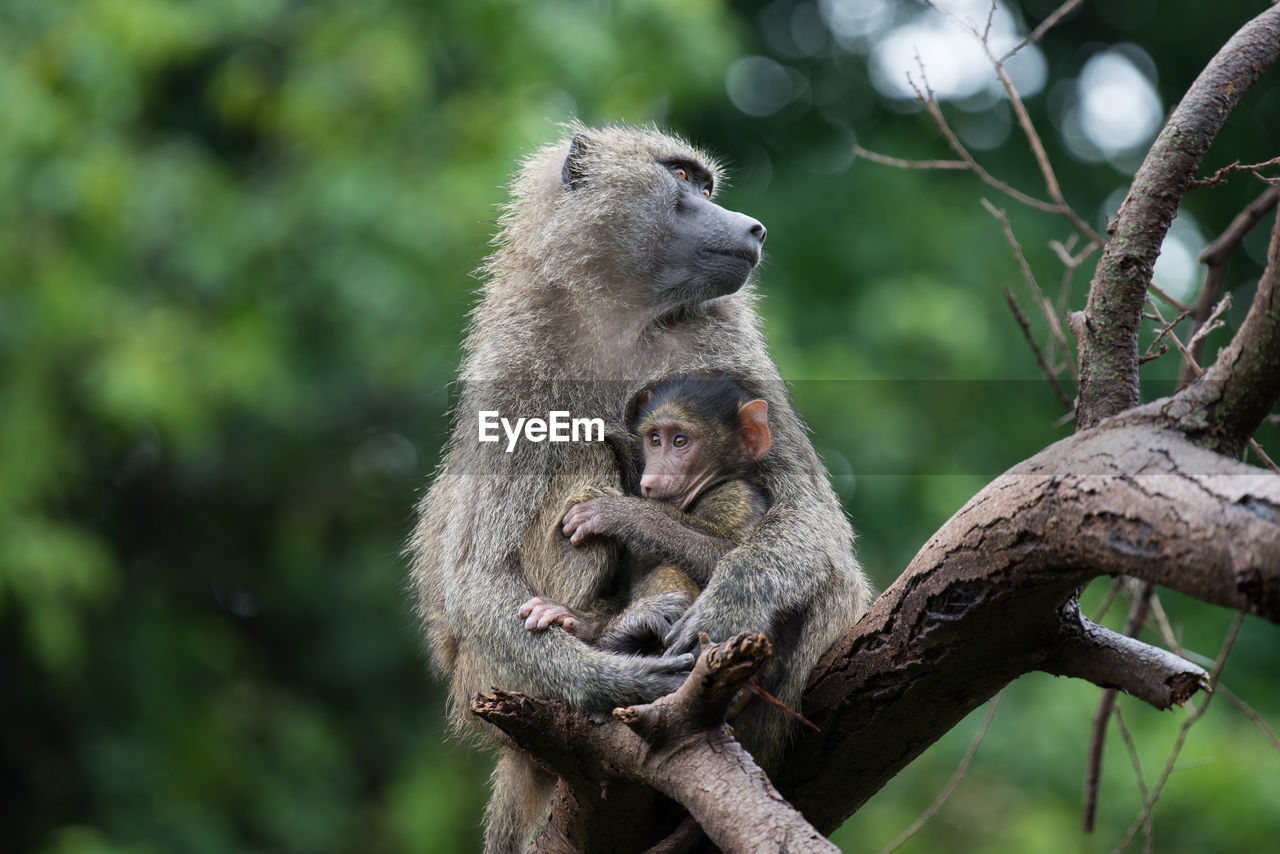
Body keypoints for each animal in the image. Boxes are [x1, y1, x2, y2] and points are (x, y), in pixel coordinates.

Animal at [517, 371, 773, 655]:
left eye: (680, 441)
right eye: (655, 440)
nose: (650, 480)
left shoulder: (737, 497)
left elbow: (732, 557)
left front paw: (625, 515)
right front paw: (581, 623)